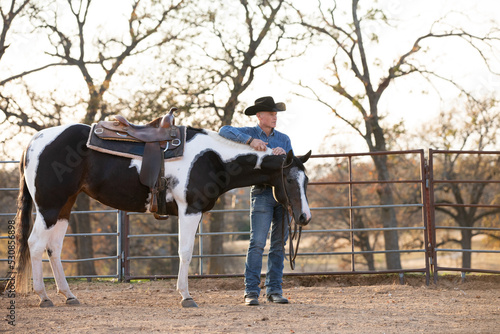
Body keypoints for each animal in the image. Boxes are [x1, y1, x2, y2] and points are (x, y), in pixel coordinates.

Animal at [12, 122, 312, 308]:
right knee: (35, 244)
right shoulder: (189, 210)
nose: (304, 217)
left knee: (53, 247)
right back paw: (44, 297)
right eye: (289, 179)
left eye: (306, 181)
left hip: (64, 207)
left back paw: (69, 295)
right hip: (49, 206)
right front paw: (186, 296)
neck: (213, 158)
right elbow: (185, 253)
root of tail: (33, 142)